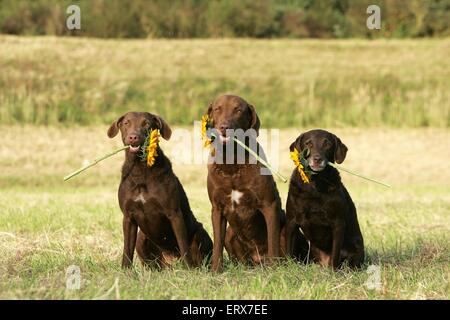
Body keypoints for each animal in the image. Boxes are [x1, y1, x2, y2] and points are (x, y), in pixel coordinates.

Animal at [107, 112, 213, 268]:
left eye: (146, 124)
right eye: (126, 123)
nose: (133, 137)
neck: (140, 169)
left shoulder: (174, 213)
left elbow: (183, 245)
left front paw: (189, 269)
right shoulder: (128, 217)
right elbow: (127, 250)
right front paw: (125, 270)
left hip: (200, 233)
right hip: (142, 239)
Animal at [286, 129, 364, 268]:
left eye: (327, 144)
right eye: (308, 143)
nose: (317, 159)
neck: (314, 184)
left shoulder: (338, 224)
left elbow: (335, 255)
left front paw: (333, 271)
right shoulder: (291, 221)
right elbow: (289, 251)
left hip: (354, 249)